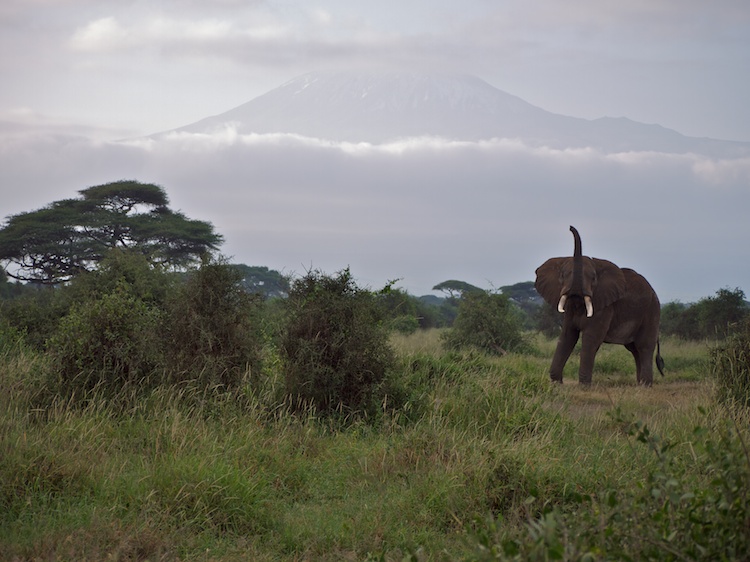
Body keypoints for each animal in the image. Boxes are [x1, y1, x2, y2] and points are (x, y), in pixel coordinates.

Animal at [532, 225, 668, 382]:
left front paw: (583, 385)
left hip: (652, 310)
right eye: (562, 276)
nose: (570, 227)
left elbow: (591, 339)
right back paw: (640, 384)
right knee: (634, 349)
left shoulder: (605, 307)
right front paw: (556, 383)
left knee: (644, 346)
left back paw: (645, 384)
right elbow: (567, 336)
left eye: (593, 278)